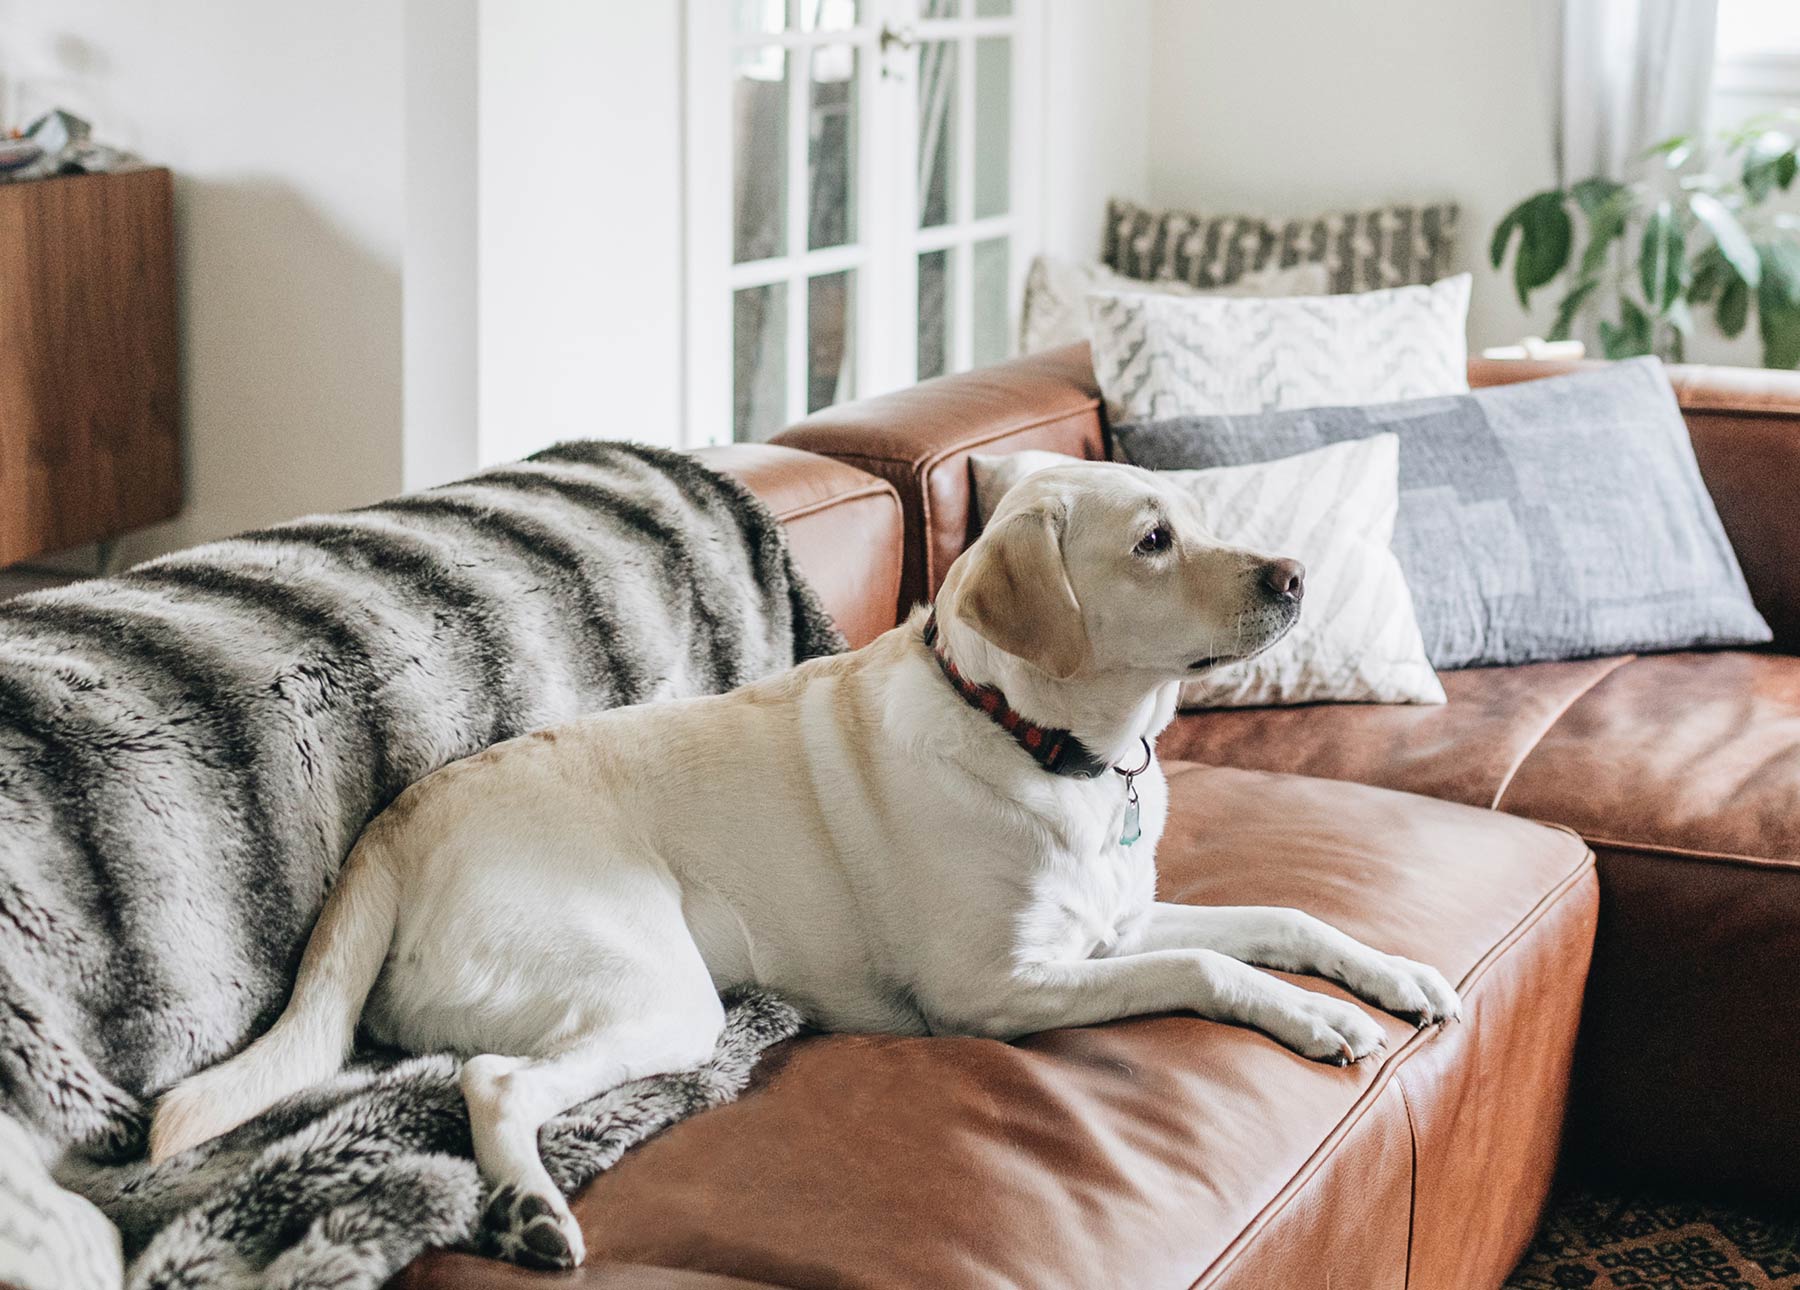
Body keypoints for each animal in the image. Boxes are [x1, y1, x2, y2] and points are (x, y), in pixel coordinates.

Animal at [147, 460, 1454, 1259]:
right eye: (1152, 541)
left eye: (1193, 518)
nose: (1296, 576)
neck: (1041, 742)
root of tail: (400, 818)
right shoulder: (1002, 990)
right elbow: (1213, 971)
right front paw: (1317, 1019)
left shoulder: (1115, 926)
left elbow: (1285, 919)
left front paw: (1396, 976)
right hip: (660, 993)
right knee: (497, 1081)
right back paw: (529, 1210)